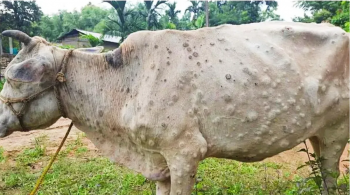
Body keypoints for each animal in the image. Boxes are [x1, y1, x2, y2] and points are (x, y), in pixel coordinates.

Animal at [0, 20, 350, 194]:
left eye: (14, 78)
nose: (0, 121)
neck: (126, 82)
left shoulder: (185, 153)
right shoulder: (159, 161)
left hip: (337, 131)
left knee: (330, 176)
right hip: (316, 133)